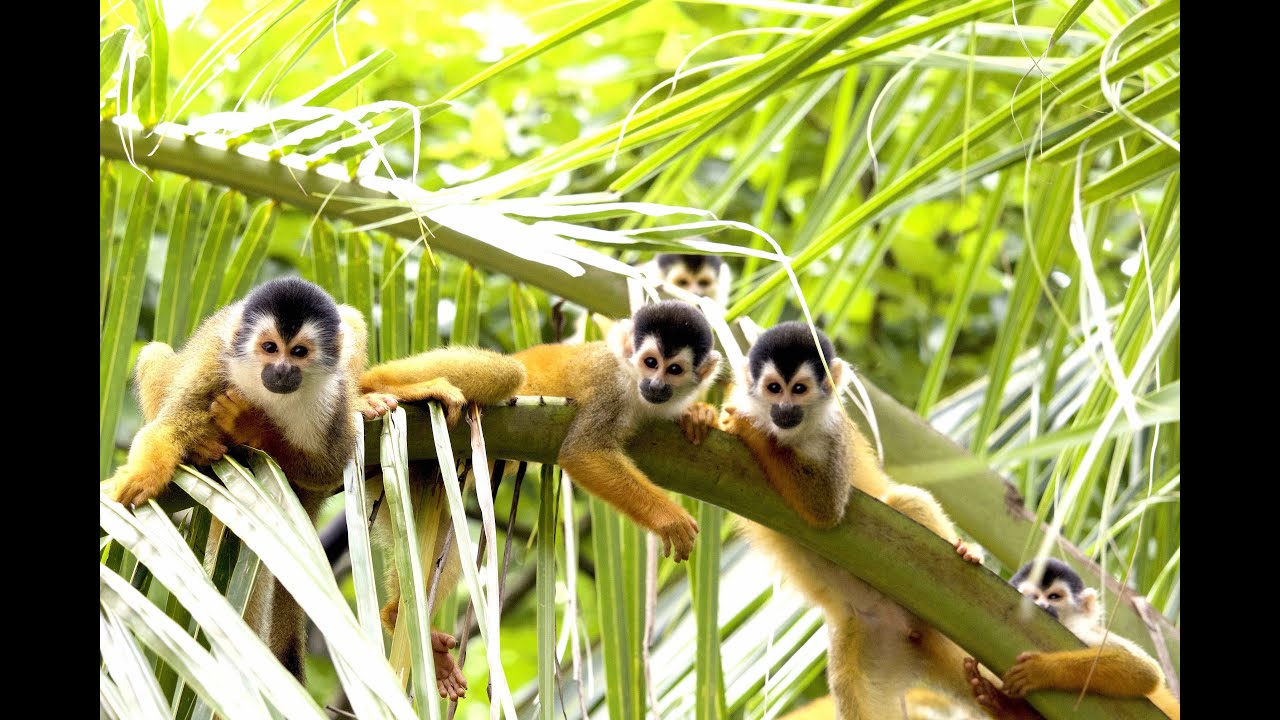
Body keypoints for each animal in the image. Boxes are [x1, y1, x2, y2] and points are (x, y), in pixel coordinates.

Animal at [717, 321, 987, 720]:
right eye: (773, 388)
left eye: (800, 389)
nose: (784, 409)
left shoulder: (835, 436)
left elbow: (825, 507)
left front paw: (750, 429)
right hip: (870, 637)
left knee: (905, 500)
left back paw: (963, 551)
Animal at [961, 559, 1180, 720]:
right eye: (1032, 597)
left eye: (1054, 597)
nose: (1041, 605)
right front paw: (1003, 705)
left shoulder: (1082, 633)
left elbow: (1144, 670)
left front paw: (1041, 670)